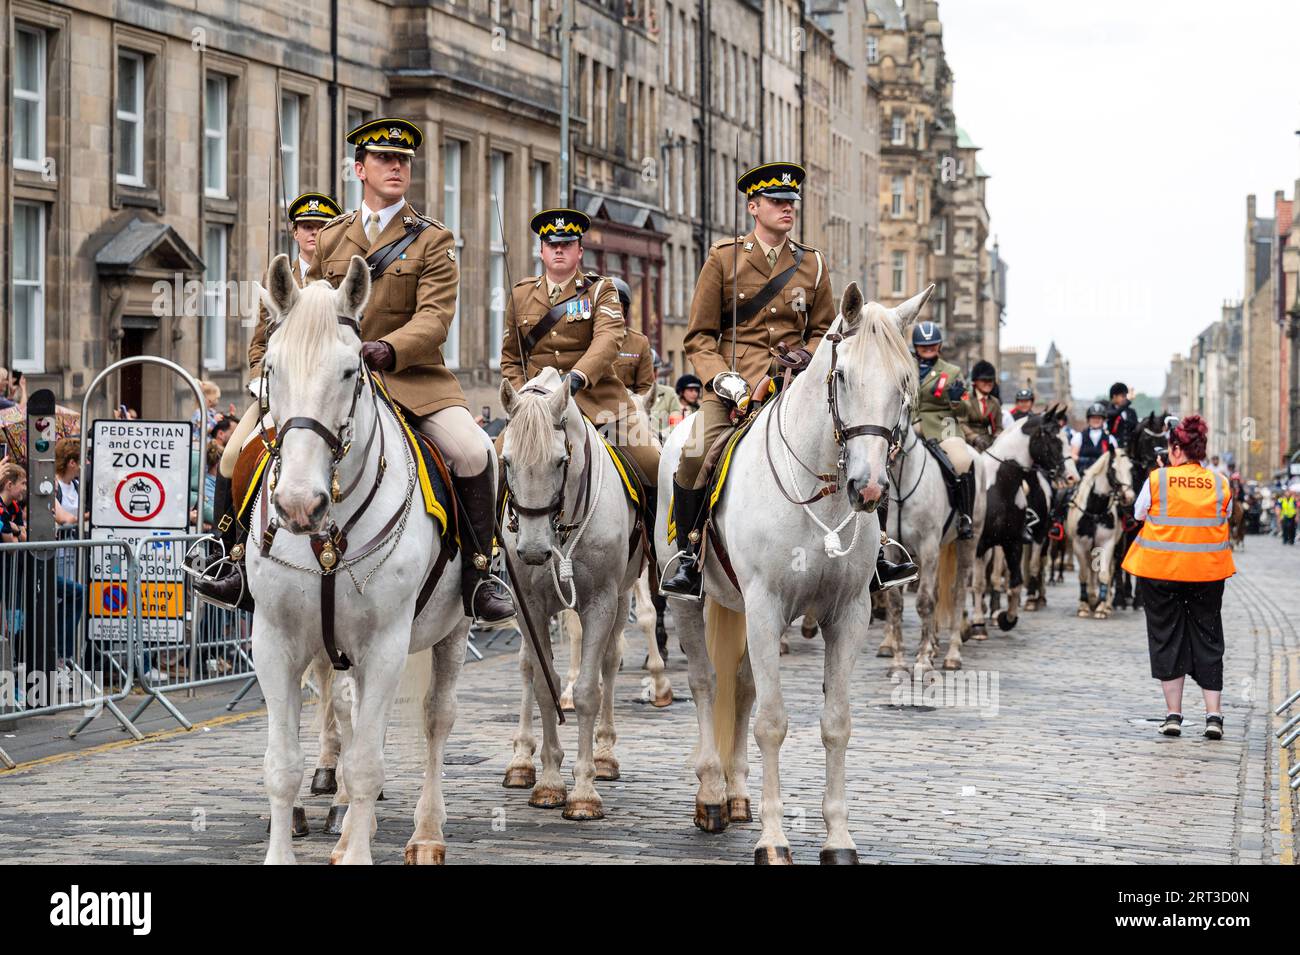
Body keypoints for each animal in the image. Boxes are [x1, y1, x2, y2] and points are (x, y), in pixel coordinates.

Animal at [245, 254, 470, 867]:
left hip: (452, 630)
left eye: (350, 371)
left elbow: (369, 763)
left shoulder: (386, 646)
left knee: (435, 719)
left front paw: (361, 847)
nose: (299, 504)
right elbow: (282, 766)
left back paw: (425, 833)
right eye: (271, 368)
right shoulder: (275, 641)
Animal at [493, 369, 647, 815]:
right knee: (527, 667)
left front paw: (583, 789)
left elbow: (587, 691)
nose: (532, 550)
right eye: (506, 461)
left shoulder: (600, 603)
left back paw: (606, 755)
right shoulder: (529, 606)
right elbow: (544, 686)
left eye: (560, 461)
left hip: (623, 597)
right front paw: (547, 780)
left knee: (610, 662)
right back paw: (521, 759)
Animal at [655, 283, 920, 867]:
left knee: (742, 685)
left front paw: (838, 839)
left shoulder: (848, 614)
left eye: (904, 382)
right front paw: (774, 839)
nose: (868, 487)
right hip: (691, 601)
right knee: (706, 682)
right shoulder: (766, 605)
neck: (818, 489)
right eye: (843, 377)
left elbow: (836, 723)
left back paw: (735, 794)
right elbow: (772, 723)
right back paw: (711, 793)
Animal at [1066, 446, 1138, 621]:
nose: (1129, 497)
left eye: (1131, 469)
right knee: (1091, 572)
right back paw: (1092, 598)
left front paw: (1101, 608)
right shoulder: (1079, 545)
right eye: (1113, 469)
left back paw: (1106, 603)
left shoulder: (1107, 544)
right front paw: (1084, 606)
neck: (1095, 510)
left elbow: (1104, 575)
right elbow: (1084, 575)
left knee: (1109, 572)